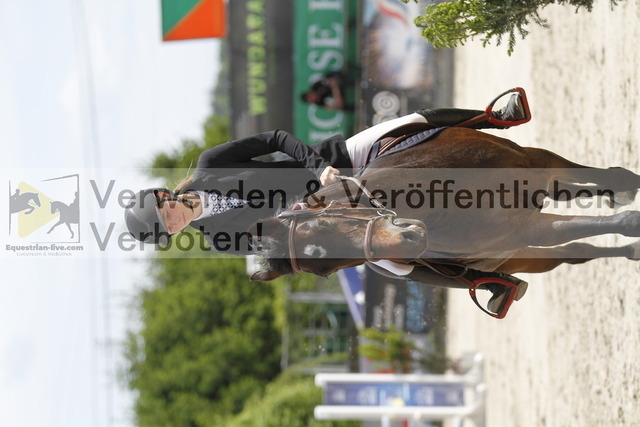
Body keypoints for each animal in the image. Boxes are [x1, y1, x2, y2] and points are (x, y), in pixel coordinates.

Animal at [250, 127, 640, 286]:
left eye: (322, 225)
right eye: (325, 272)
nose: (410, 242)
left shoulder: (534, 163)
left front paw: (625, 188)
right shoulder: (524, 229)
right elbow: (611, 225)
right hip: (521, 252)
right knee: (579, 251)